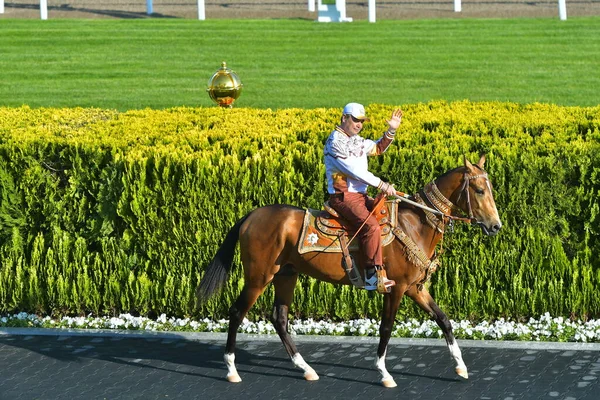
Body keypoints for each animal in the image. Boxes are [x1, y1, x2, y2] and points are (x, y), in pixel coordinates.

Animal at [197, 155, 502, 388]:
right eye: (479, 190)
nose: (495, 225)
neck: (414, 222)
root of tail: (250, 216)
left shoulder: (416, 288)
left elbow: (444, 320)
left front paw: (461, 366)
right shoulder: (396, 288)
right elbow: (386, 328)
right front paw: (384, 372)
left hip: (286, 275)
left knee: (279, 318)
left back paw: (305, 368)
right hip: (259, 277)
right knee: (237, 312)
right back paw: (231, 369)